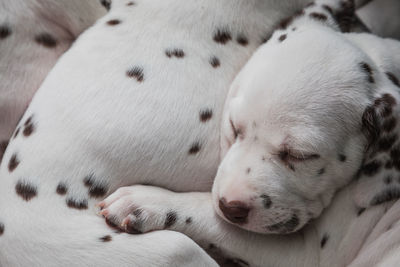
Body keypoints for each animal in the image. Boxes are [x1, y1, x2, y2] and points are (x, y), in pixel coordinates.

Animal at [101, 0, 400, 266]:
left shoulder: (305, 254)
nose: (229, 206)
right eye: (235, 127)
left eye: (300, 155)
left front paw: (149, 201)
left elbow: (208, 215)